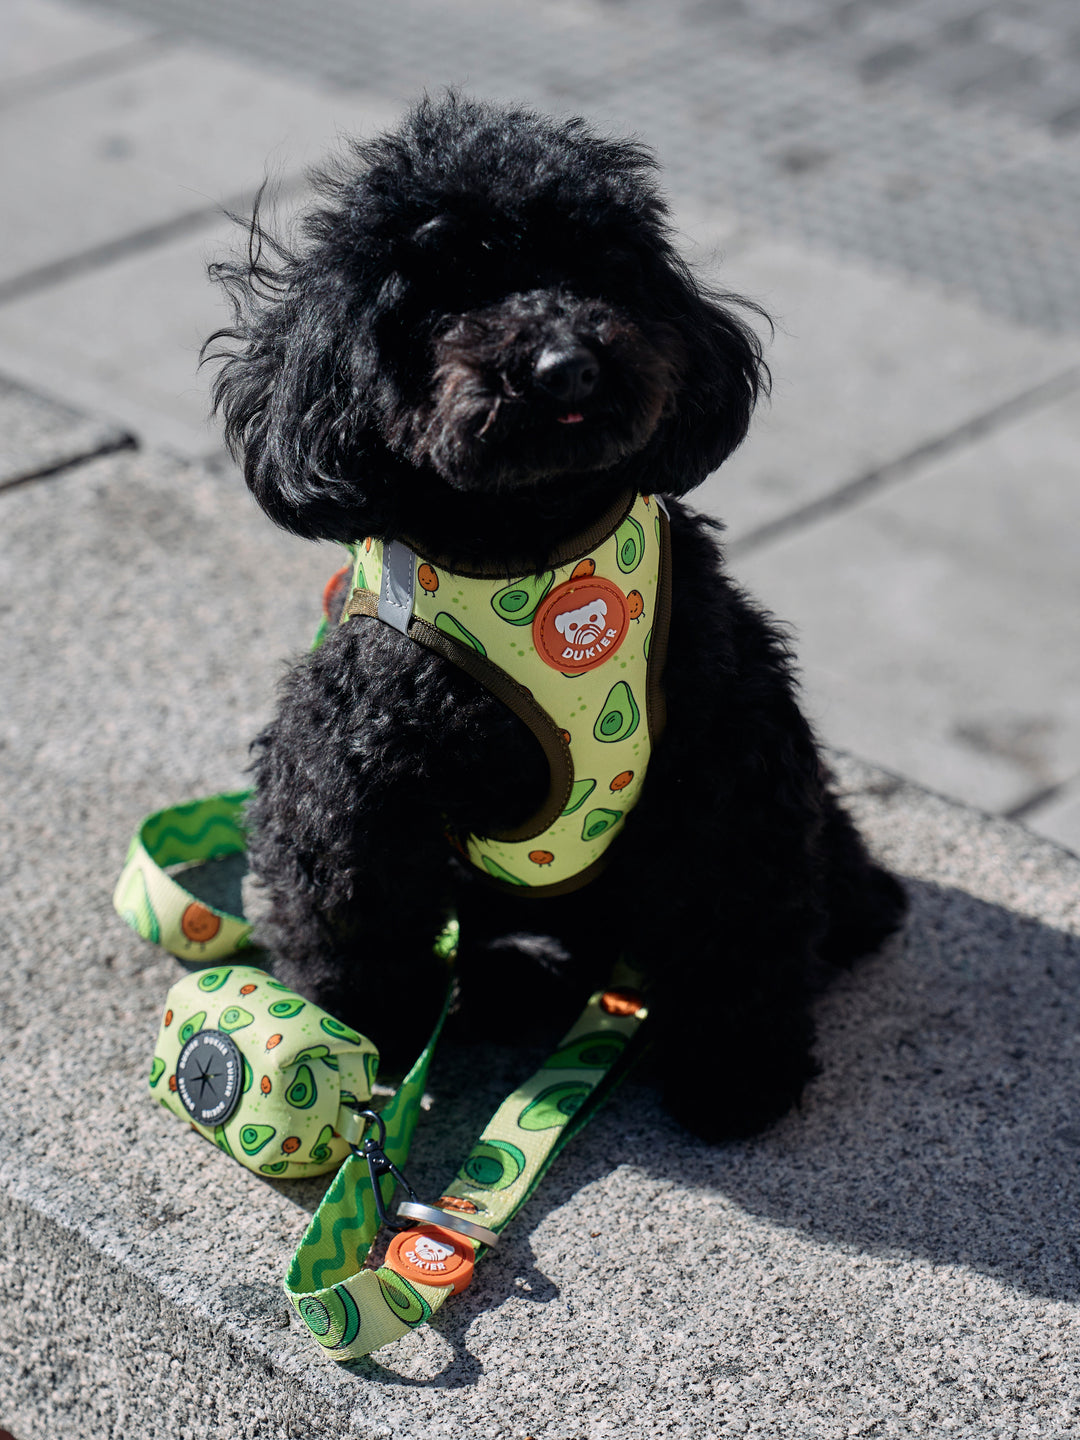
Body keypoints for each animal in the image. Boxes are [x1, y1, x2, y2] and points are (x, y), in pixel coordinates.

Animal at [204, 95, 904, 1140]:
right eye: (442, 297)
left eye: (594, 270)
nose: (565, 366)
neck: (532, 552)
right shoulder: (352, 781)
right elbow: (353, 919)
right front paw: (367, 1041)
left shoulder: (727, 761)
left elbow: (739, 921)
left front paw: (737, 1072)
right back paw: (513, 978)